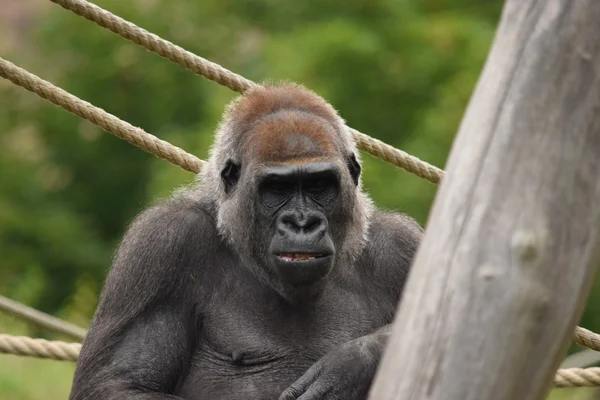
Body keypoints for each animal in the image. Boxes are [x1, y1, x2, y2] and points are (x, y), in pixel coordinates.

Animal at [68, 83, 422, 400]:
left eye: (319, 184)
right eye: (277, 188)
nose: (302, 223)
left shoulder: (401, 245)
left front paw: (354, 361)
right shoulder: (162, 244)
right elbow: (117, 384)